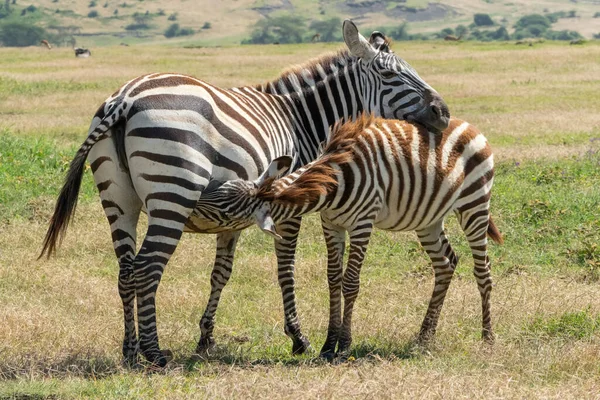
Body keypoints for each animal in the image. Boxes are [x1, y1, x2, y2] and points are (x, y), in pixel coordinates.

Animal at [38, 20, 450, 368]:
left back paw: (129, 351)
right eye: (391, 74)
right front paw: (298, 338)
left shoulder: (233, 218)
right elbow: (286, 270)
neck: (301, 119)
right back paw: (154, 353)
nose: (444, 113)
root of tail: (124, 98)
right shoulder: (288, 204)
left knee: (126, 270)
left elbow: (221, 273)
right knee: (148, 267)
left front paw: (206, 339)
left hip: (118, 200)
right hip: (173, 194)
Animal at [196, 115, 502, 360]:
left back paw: (487, 337)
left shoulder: (361, 223)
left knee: (482, 270)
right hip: (428, 219)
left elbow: (351, 282)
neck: (332, 183)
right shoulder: (331, 224)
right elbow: (333, 279)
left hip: (474, 204)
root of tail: (469, 125)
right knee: (446, 263)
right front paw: (327, 345)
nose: (190, 209)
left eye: (224, 208)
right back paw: (425, 336)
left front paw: (343, 345)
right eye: (220, 189)